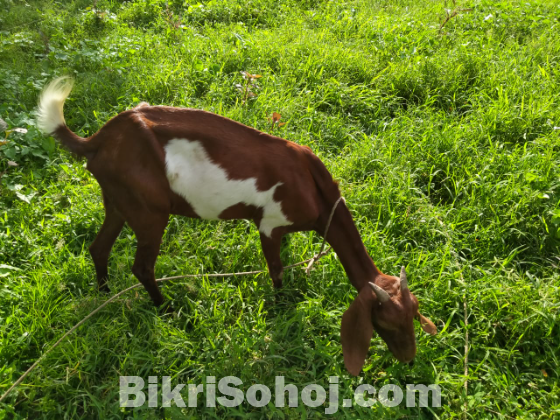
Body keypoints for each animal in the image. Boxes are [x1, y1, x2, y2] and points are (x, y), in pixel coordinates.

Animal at [37, 77, 438, 376]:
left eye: (414, 314)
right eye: (385, 324)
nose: (409, 360)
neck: (315, 189)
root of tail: (98, 140)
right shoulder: (269, 224)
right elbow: (276, 270)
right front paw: (283, 310)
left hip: (118, 199)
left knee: (99, 247)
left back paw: (105, 295)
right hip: (149, 210)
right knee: (142, 265)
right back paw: (166, 310)